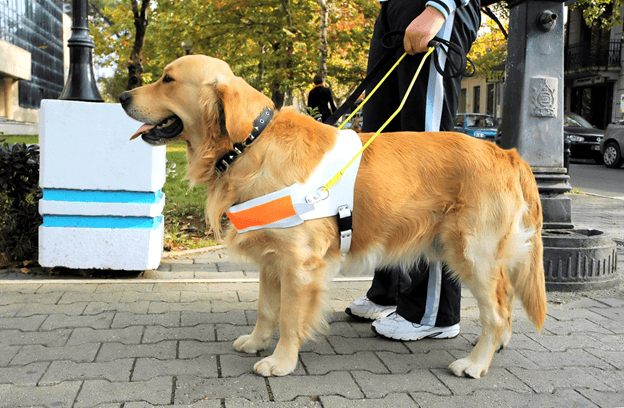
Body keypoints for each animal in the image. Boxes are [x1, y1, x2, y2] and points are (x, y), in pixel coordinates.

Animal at [118, 54, 544, 380]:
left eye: (168, 79)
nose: (122, 95)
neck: (250, 145)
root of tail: (505, 152)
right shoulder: (271, 258)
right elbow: (266, 308)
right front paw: (256, 342)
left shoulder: (299, 263)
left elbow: (290, 316)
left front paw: (280, 361)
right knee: (505, 304)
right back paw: (497, 347)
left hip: (472, 253)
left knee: (497, 311)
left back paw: (474, 363)